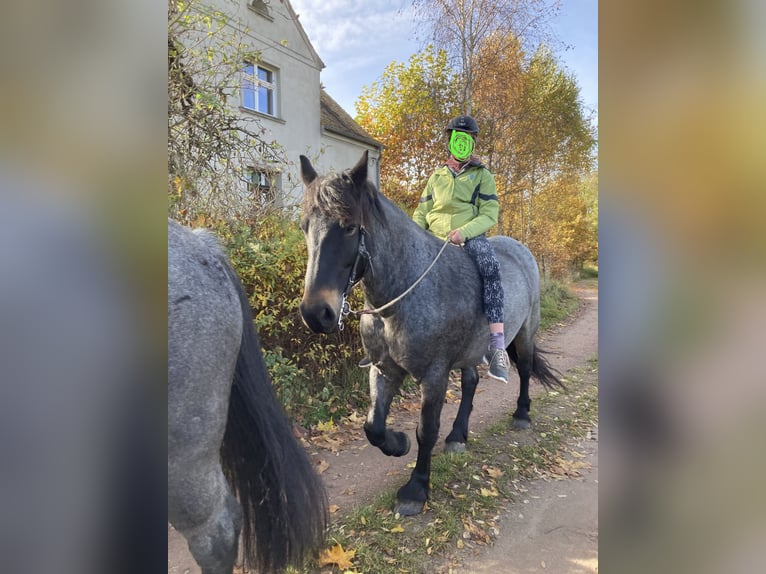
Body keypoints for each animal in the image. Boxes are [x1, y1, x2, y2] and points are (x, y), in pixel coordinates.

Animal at [296, 150, 560, 516]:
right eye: (305, 226)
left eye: (349, 227)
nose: (315, 313)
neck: (400, 298)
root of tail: (521, 250)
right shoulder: (383, 369)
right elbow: (373, 426)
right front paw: (397, 443)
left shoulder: (433, 376)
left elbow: (426, 429)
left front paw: (416, 489)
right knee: (471, 383)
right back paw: (458, 436)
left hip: (525, 331)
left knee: (523, 368)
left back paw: (521, 414)